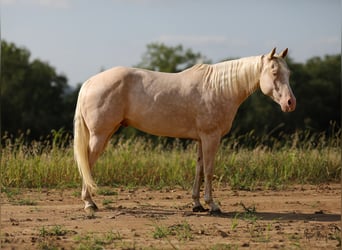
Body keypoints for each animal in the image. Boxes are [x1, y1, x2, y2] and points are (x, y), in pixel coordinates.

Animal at [74, 47, 296, 214]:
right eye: (274, 72)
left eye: (289, 74)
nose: (290, 103)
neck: (219, 87)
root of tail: (89, 83)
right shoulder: (211, 137)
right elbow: (209, 170)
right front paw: (213, 205)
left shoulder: (201, 139)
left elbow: (199, 169)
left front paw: (197, 204)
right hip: (100, 136)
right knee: (87, 163)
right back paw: (89, 203)